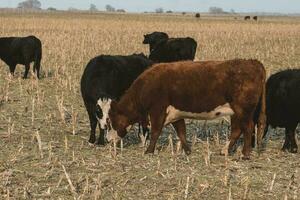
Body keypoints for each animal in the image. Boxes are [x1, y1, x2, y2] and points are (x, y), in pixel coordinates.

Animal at [104, 59, 266, 159]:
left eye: (110, 122)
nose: (108, 140)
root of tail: (253, 62)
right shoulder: (176, 114)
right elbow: (181, 131)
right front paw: (187, 151)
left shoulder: (157, 110)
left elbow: (155, 132)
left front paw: (149, 151)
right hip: (237, 113)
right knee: (237, 130)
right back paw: (225, 151)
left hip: (243, 111)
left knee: (248, 128)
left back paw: (245, 154)